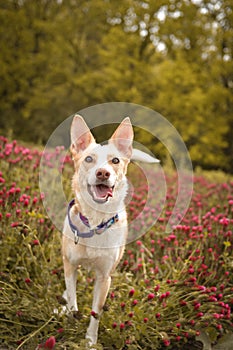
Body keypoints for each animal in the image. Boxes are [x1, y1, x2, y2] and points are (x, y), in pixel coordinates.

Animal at [62, 116, 158, 346]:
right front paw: (70, 318)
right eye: (89, 159)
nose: (103, 173)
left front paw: (90, 341)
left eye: (115, 161)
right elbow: (72, 298)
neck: (95, 222)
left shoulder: (105, 277)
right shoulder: (69, 264)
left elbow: (96, 312)